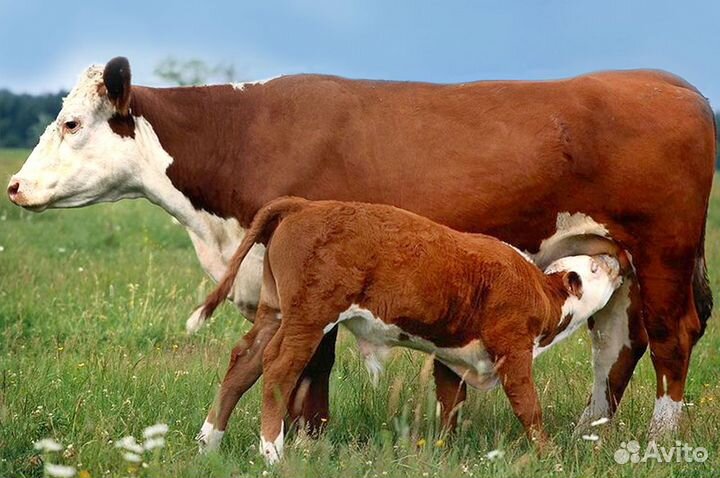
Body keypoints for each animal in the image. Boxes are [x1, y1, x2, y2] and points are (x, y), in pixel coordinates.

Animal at [191, 196, 627, 462]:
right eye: (592, 266)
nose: (615, 261)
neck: (540, 291)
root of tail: (306, 205)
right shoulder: (514, 352)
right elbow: (529, 407)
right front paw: (548, 454)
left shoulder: (454, 356)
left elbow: (451, 404)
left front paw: (446, 451)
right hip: (309, 318)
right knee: (278, 368)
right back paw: (272, 452)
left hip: (276, 312)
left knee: (244, 361)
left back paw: (208, 443)